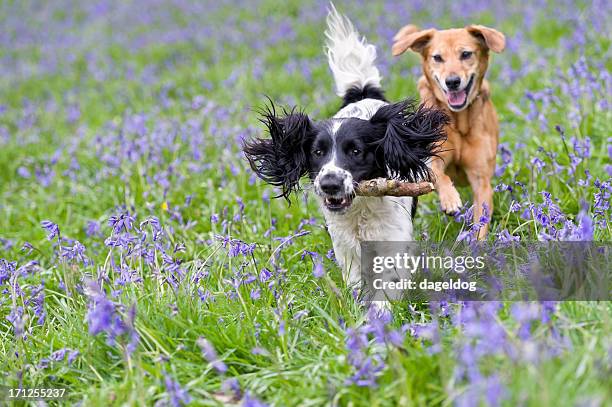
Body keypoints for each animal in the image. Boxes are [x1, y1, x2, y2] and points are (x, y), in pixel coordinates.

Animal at [245, 6, 450, 294]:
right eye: (317, 153)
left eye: (355, 151)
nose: (330, 184)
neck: (360, 210)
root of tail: (362, 91)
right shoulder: (345, 246)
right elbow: (354, 282)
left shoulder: (393, 240)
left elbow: (389, 283)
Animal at [392, 23, 506, 239]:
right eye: (437, 57)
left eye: (466, 54)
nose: (452, 81)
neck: (458, 120)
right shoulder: (433, 158)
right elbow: (439, 174)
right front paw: (450, 199)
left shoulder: (481, 179)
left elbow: (481, 218)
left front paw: (478, 244)